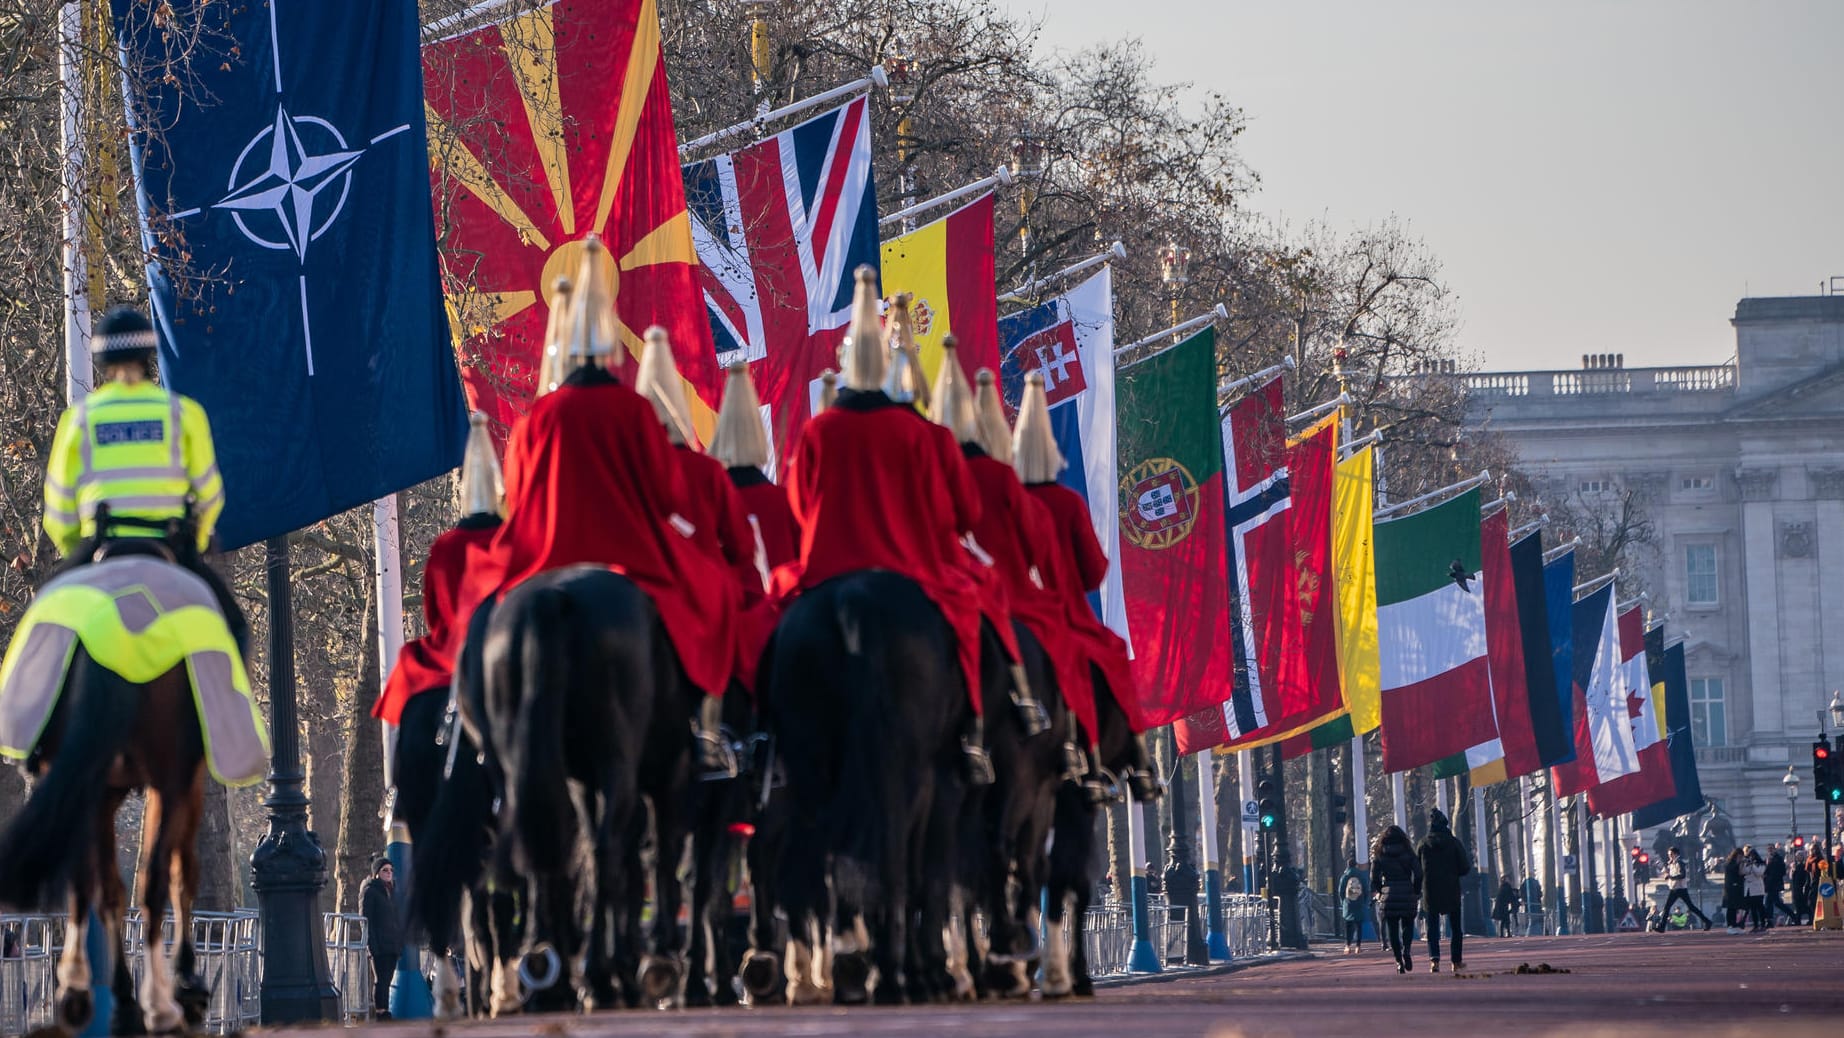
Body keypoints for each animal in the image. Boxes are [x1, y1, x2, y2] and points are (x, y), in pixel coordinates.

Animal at [0, 634, 210, 1032]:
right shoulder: (182, 779)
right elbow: (180, 872)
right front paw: (186, 980)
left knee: (92, 882)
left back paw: (93, 993)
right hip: (166, 774)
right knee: (155, 877)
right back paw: (158, 1003)